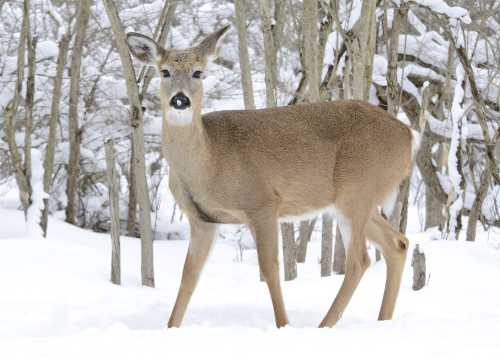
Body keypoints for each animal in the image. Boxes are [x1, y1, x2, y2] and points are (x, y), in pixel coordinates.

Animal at [126, 25, 418, 328]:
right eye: (164, 72)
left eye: (198, 72)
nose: (180, 100)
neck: (208, 162)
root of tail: (410, 136)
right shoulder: (202, 219)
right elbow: (189, 275)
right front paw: (171, 327)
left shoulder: (263, 203)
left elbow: (270, 269)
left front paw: (283, 325)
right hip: (356, 200)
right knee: (397, 244)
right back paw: (382, 320)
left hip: (357, 191)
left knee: (359, 259)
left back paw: (325, 325)